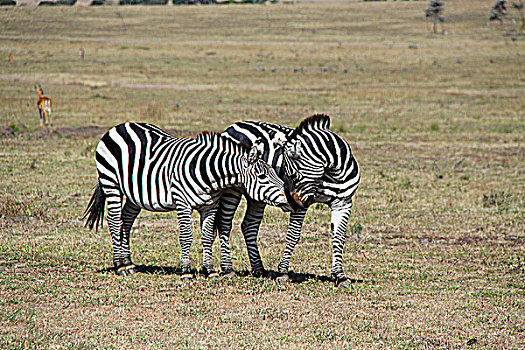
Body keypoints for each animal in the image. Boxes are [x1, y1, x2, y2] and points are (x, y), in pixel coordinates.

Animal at [83, 123, 286, 278]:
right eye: (262, 176)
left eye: (274, 172)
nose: (288, 197)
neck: (208, 172)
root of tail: (119, 126)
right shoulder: (183, 204)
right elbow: (186, 237)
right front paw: (186, 272)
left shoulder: (210, 206)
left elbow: (207, 236)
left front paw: (210, 270)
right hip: (111, 183)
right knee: (114, 221)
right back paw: (120, 266)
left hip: (135, 194)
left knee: (126, 220)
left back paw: (128, 264)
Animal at [215, 115, 358, 288]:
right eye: (287, 174)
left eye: (293, 175)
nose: (291, 203)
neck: (333, 174)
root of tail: (233, 126)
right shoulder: (304, 202)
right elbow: (293, 235)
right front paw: (283, 272)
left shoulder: (343, 203)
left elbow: (339, 237)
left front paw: (340, 276)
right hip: (232, 188)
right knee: (225, 223)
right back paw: (228, 268)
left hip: (257, 193)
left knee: (249, 225)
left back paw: (258, 269)